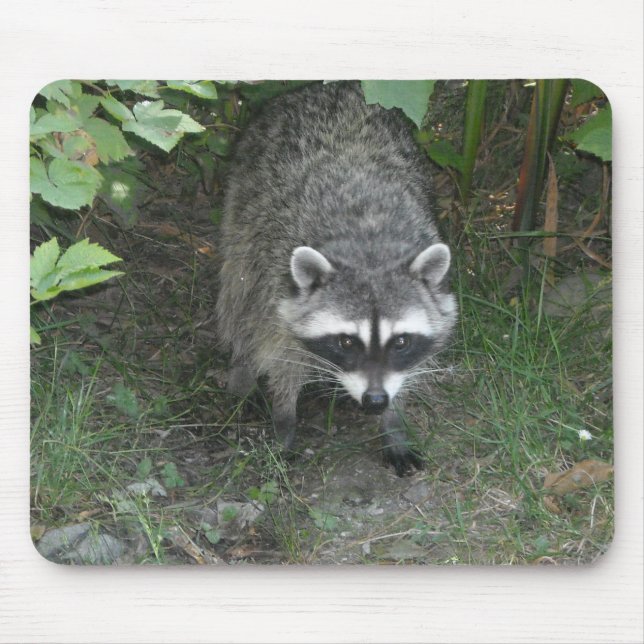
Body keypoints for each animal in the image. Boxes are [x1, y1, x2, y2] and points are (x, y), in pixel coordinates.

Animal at [216, 81, 457, 476]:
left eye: (401, 341)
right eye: (346, 341)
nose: (375, 400)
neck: (369, 250)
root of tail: (326, 87)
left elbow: (404, 372)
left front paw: (393, 423)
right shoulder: (276, 283)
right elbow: (280, 355)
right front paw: (284, 419)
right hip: (242, 200)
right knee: (237, 291)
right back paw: (242, 365)